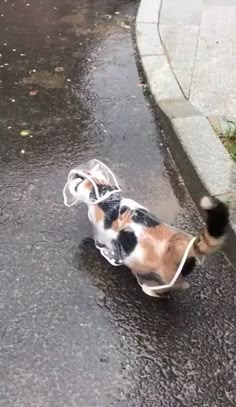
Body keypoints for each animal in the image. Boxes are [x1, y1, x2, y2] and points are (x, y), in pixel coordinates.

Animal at [64, 171, 229, 298]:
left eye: (78, 180)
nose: (74, 175)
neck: (106, 198)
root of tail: (176, 243)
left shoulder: (102, 231)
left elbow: (102, 241)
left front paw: (104, 251)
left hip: (151, 269)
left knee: (178, 285)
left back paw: (149, 289)